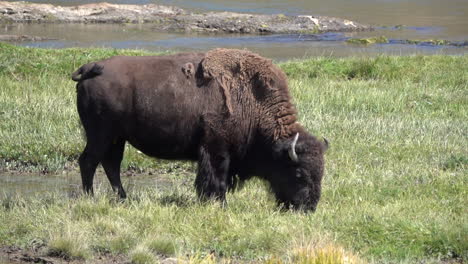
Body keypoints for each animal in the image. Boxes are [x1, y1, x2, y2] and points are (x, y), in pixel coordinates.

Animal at [72, 48, 330, 211]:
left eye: (321, 172)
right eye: (299, 173)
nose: (309, 207)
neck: (253, 100)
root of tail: (93, 67)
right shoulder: (216, 149)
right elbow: (217, 180)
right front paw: (221, 205)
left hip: (117, 138)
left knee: (111, 165)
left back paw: (123, 199)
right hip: (100, 135)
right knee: (89, 162)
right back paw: (90, 198)